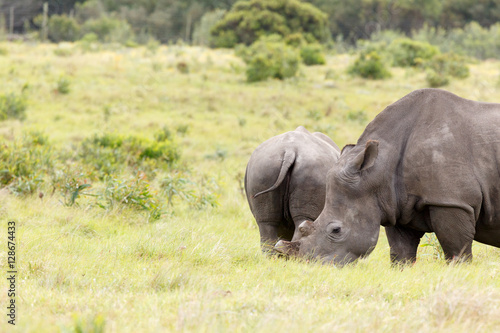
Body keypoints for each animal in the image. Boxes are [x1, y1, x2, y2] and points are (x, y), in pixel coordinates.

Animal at [276, 89, 500, 264]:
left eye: (336, 230)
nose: (312, 265)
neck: (379, 168)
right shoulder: (398, 204)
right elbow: (400, 253)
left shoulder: (452, 201)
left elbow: (456, 250)